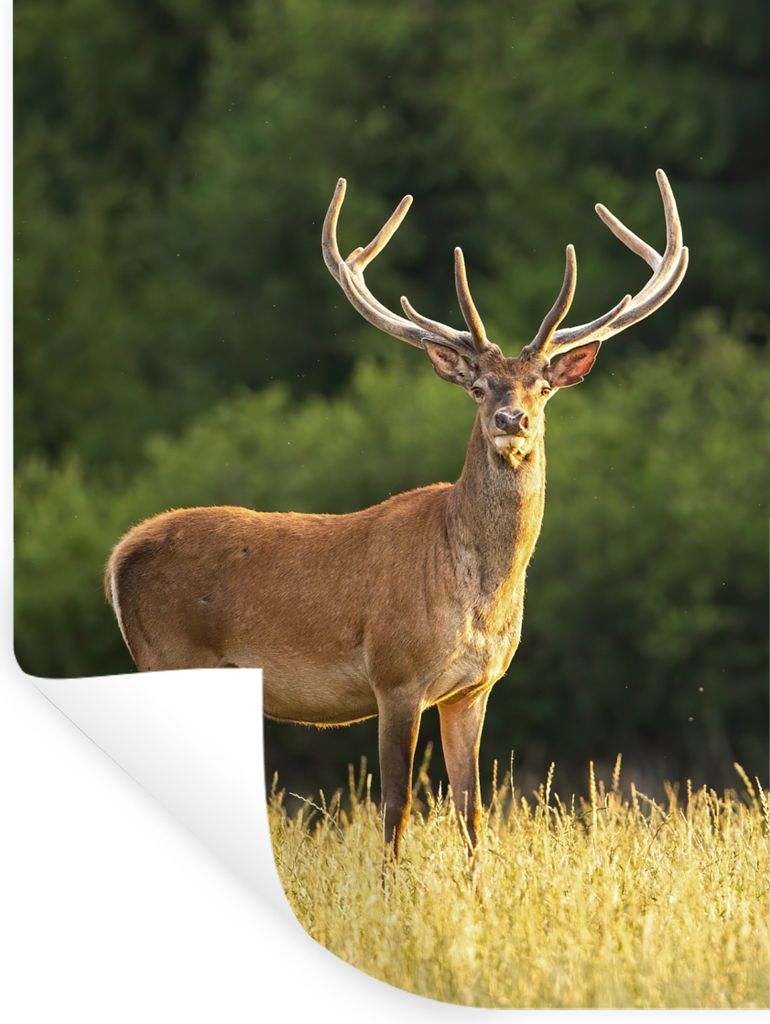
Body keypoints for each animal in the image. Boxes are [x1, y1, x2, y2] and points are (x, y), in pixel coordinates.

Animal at [106, 170, 687, 857]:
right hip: (167, 653)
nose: (511, 419)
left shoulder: (474, 688)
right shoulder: (396, 674)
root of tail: (118, 557)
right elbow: (396, 806)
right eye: (478, 386)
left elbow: (471, 809)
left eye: (542, 386)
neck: (478, 594)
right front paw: (390, 881)